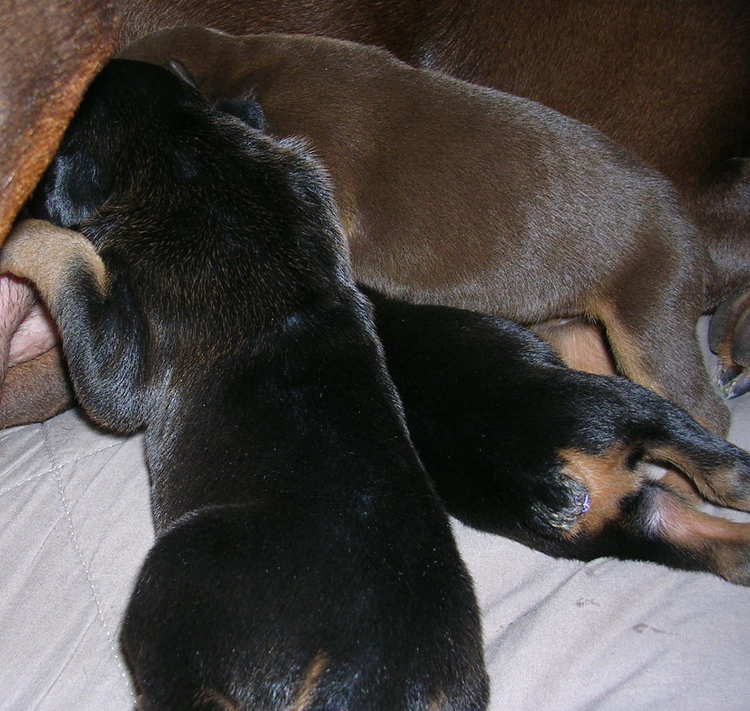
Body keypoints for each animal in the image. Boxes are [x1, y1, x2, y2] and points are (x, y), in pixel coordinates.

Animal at [1, 61, 494, 711]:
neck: (189, 147)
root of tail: (368, 680)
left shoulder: (119, 361)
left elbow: (69, 255)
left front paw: (16, 233)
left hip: (175, 568)